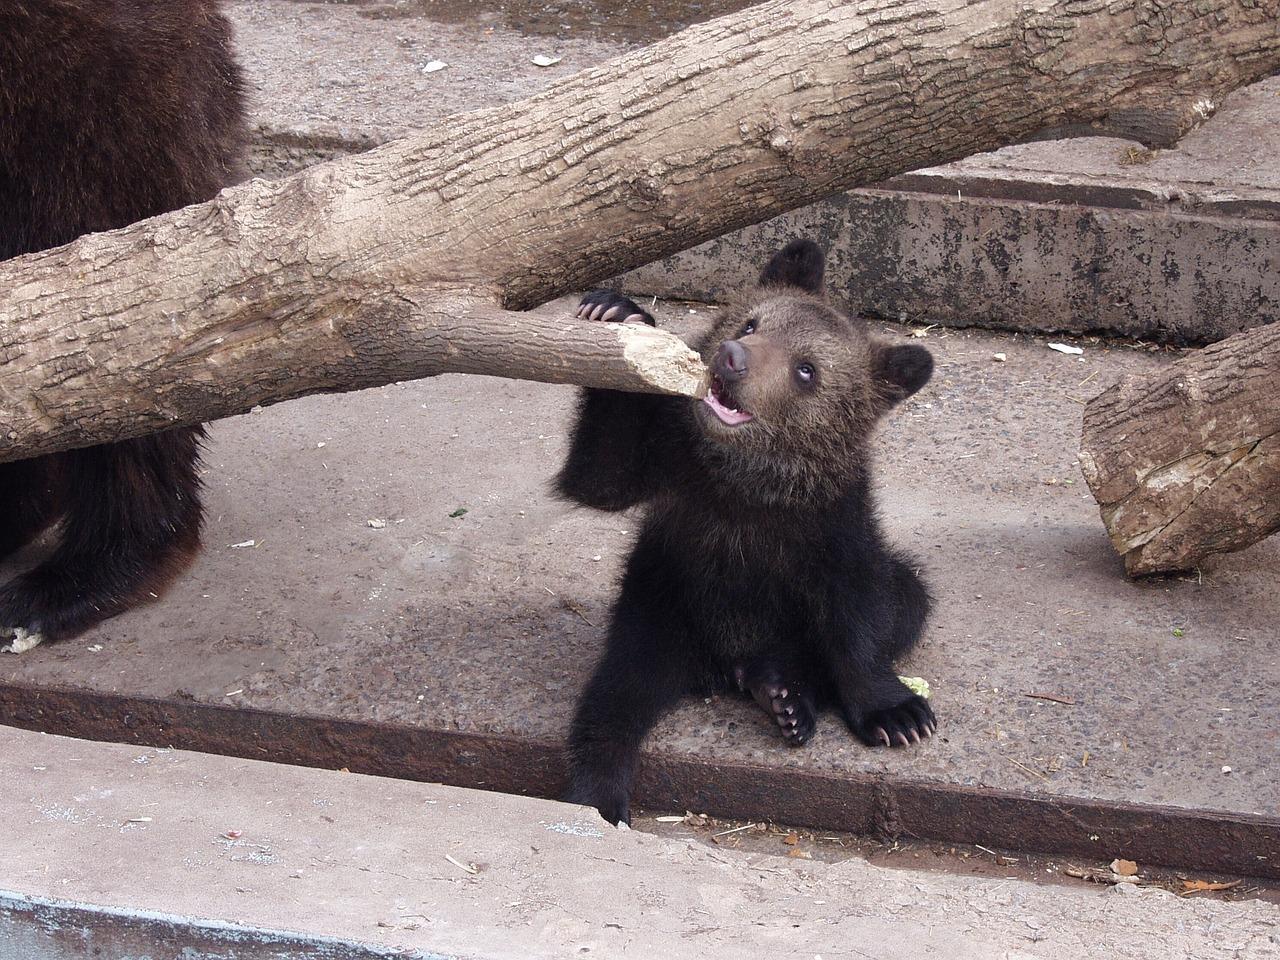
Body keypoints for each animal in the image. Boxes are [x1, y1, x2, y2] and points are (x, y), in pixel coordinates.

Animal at [555, 241, 936, 829]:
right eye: (752, 321)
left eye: (807, 370)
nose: (733, 356)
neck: (744, 482)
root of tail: (720, 667)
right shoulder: (675, 469)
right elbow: (599, 475)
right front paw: (616, 313)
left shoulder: (830, 520)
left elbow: (860, 607)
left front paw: (898, 713)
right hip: (665, 613)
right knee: (616, 695)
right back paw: (598, 793)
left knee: (907, 597)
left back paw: (782, 693)